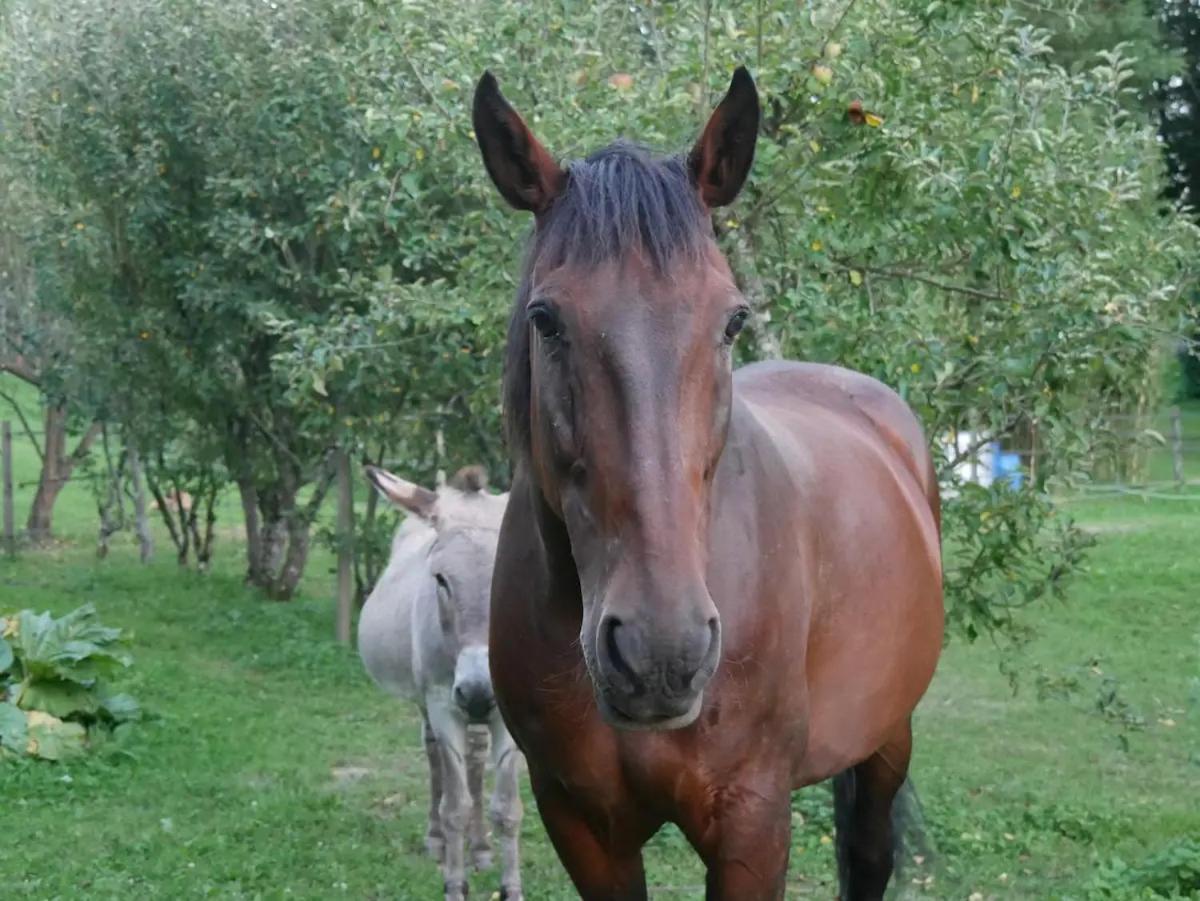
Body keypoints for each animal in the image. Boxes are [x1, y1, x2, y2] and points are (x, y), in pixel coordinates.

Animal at [357, 465, 523, 901]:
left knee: (477, 760)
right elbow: (455, 806)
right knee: (433, 754)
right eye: (441, 581)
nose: (480, 691)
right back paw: (437, 841)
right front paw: (454, 884)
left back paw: (480, 849)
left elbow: (507, 808)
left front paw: (510, 887)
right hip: (426, 701)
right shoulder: (442, 704)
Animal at [472, 65, 940, 901]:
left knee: (869, 854)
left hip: (889, 736)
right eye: (546, 319)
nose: (661, 651)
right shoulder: (581, 824)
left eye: (731, 320)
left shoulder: (752, 817)